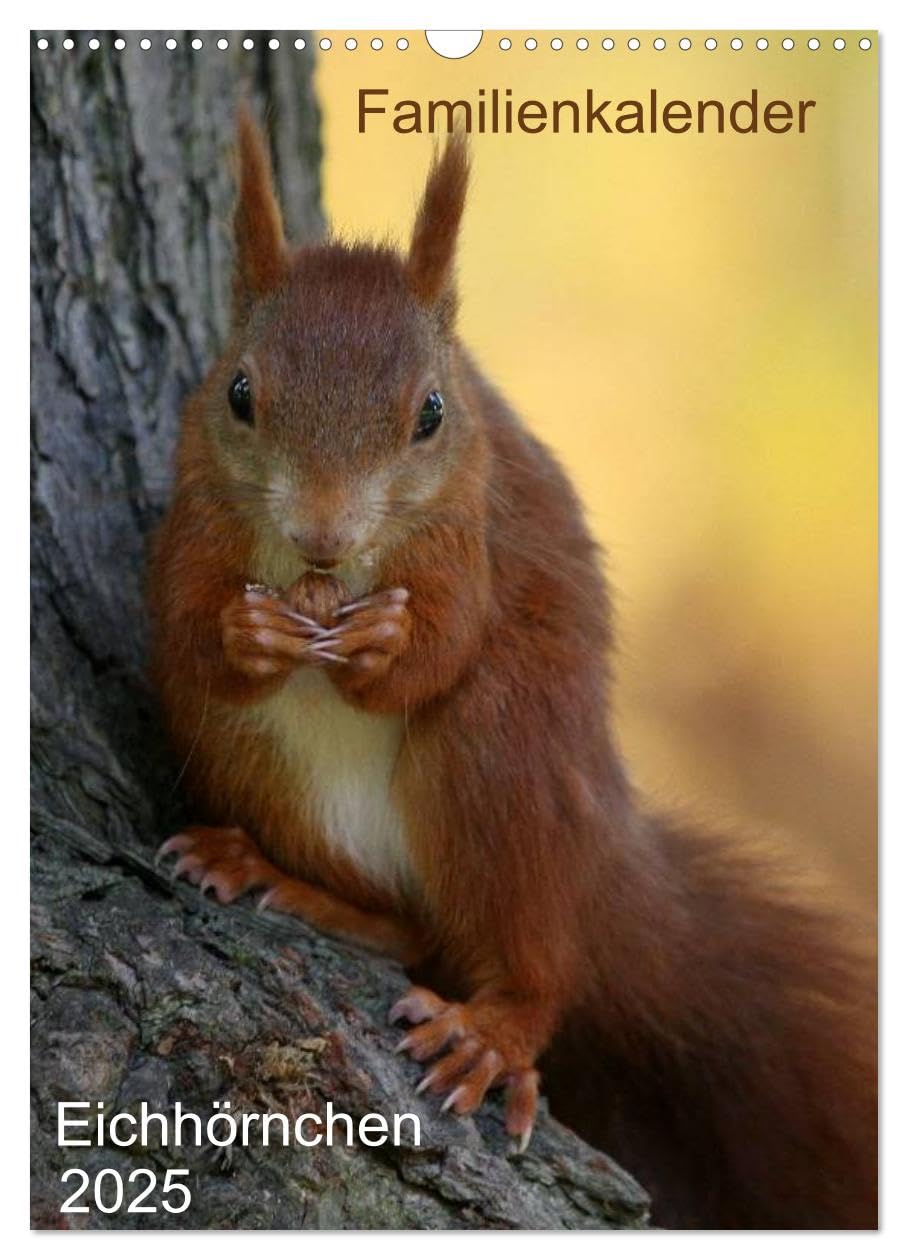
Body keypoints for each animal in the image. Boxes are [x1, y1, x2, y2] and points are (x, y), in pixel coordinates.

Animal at [150, 106, 877, 1229]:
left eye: (431, 414)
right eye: (238, 395)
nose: (321, 537)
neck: (325, 580)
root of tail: (601, 859)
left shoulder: (469, 535)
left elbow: (442, 644)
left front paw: (387, 646)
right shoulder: (193, 516)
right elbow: (182, 626)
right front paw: (246, 635)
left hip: (503, 759)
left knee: (534, 964)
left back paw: (493, 1034)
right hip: (245, 757)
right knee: (408, 927)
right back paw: (274, 875)